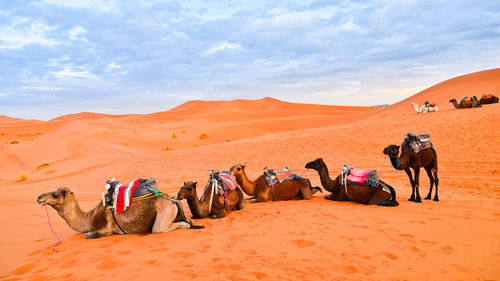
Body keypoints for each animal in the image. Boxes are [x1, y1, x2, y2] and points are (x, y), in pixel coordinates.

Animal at [37, 186, 201, 238]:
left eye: (55, 194)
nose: (39, 197)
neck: (89, 217)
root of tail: (174, 200)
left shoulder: (104, 229)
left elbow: (86, 235)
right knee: (188, 221)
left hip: (164, 211)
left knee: (160, 228)